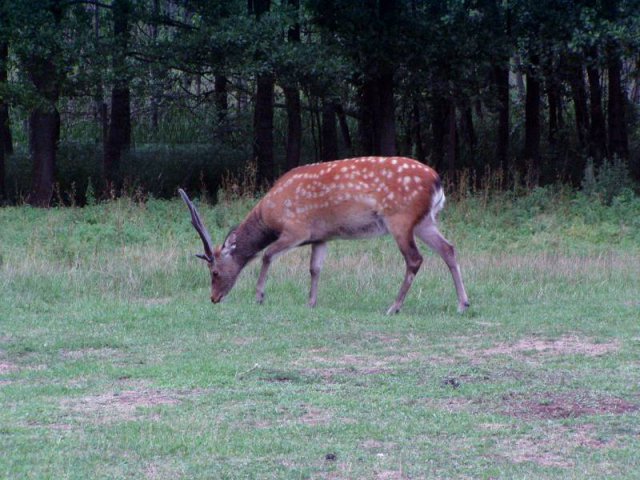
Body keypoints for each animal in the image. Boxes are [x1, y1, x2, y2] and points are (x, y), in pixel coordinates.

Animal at [180, 157, 470, 316]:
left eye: (214, 272)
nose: (214, 298)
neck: (271, 214)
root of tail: (437, 182)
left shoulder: (297, 228)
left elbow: (267, 255)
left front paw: (260, 296)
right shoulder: (321, 236)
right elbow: (315, 268)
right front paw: (311, 302)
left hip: (400, 219)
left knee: (414, 259)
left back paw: (394, 307)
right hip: (424, 222)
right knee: (449, 248)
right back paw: (462, 303)